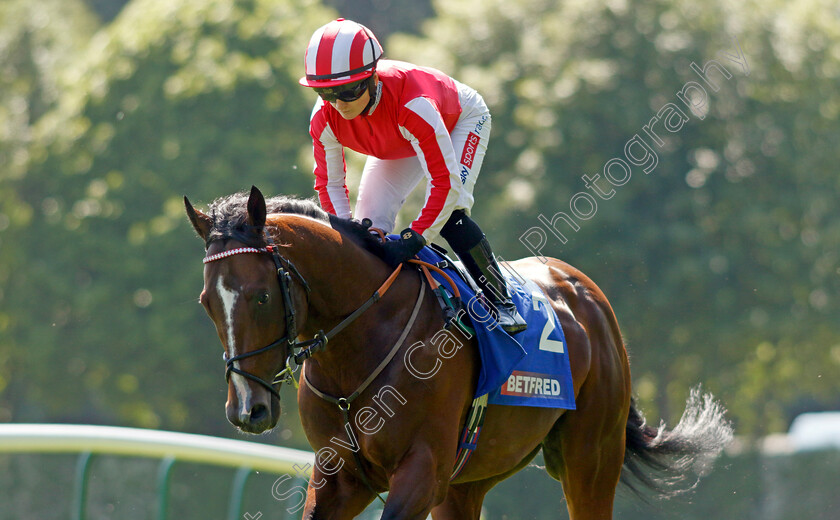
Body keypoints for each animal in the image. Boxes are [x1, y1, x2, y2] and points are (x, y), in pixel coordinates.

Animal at [185, 187, 736, 520]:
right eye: (207, 301)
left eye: (260, 296)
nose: (248, 410)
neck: (361, 341)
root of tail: (585, 291)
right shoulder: (342, 477)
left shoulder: (422, 470)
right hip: (470, 479)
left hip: (591, 459)